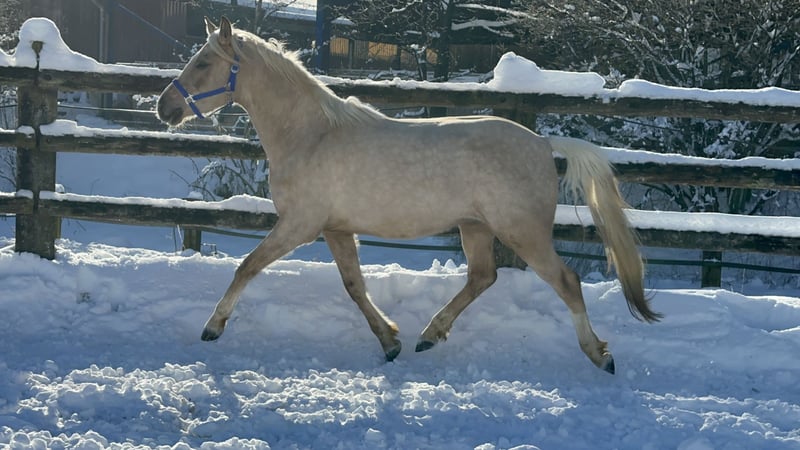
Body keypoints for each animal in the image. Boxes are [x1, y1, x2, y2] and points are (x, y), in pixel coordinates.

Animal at [157, 16, 660, 374]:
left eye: (203, 63)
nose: (165, 107)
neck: (311, 135)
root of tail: (541, 142)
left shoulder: (299, 225)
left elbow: (247, 266)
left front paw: (213, 327)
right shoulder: (336, 229)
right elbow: (354, 286)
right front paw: (390, 341)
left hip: (523, 233)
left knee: (565, 282)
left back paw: (600, 355)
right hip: (475, 228)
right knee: (482, 277)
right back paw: (428, 335)